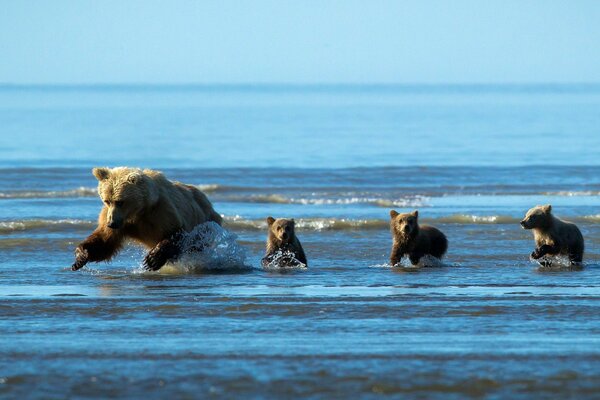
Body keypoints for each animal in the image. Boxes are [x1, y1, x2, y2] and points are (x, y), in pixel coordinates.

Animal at [72, 166, 223, 272]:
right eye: (107, 200)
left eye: (120, 201)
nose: (111, 223)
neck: (139, 211)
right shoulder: (116, 218)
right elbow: (105, 241)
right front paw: (81, 256)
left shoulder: (161, 211)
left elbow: (176, 232)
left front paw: (152, 259)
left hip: (205, 223)